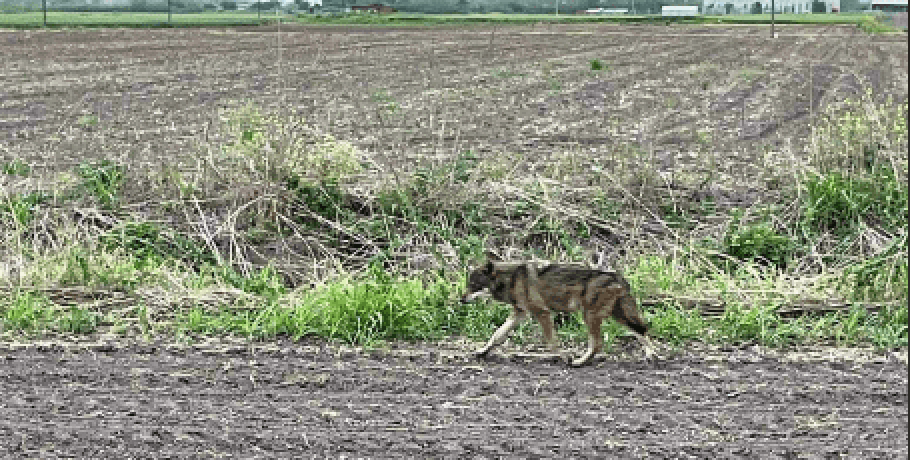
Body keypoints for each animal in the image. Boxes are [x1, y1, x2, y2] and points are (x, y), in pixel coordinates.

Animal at [464, 252, 656, 366]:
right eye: (468, 285)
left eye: (473, 286)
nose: (461, 299)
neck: (510, 279)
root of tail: (619, 278)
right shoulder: (520, 313)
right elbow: (497, 335)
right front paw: (482, 352)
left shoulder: (542, 312)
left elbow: (552, 343)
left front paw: (562, 357)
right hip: (616, 316)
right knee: (641, 331)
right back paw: (650, 355)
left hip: (590, 316)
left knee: (598, 344)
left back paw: (578, 362)